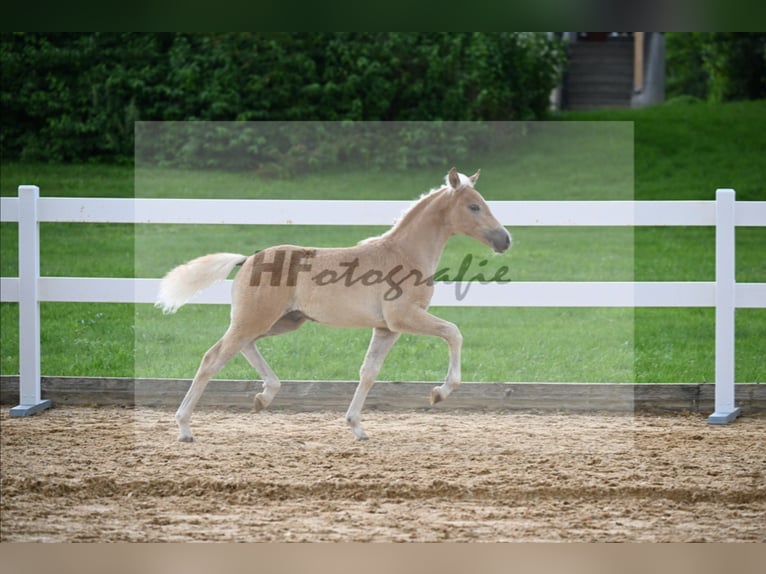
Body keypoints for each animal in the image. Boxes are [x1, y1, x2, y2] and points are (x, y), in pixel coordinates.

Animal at [157, 169, 512, 444]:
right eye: (474, 206)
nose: (504, 240)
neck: (404, 254)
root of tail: (247, 260)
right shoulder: (404, 318)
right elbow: (453, 332)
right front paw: (440, 393)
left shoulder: (386, 328)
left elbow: (369, 371)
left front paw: (357, 427)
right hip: (255, 319)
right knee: (213, 358)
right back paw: (185, 427)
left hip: (282, 321)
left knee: (243, 347)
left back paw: (263, 396)